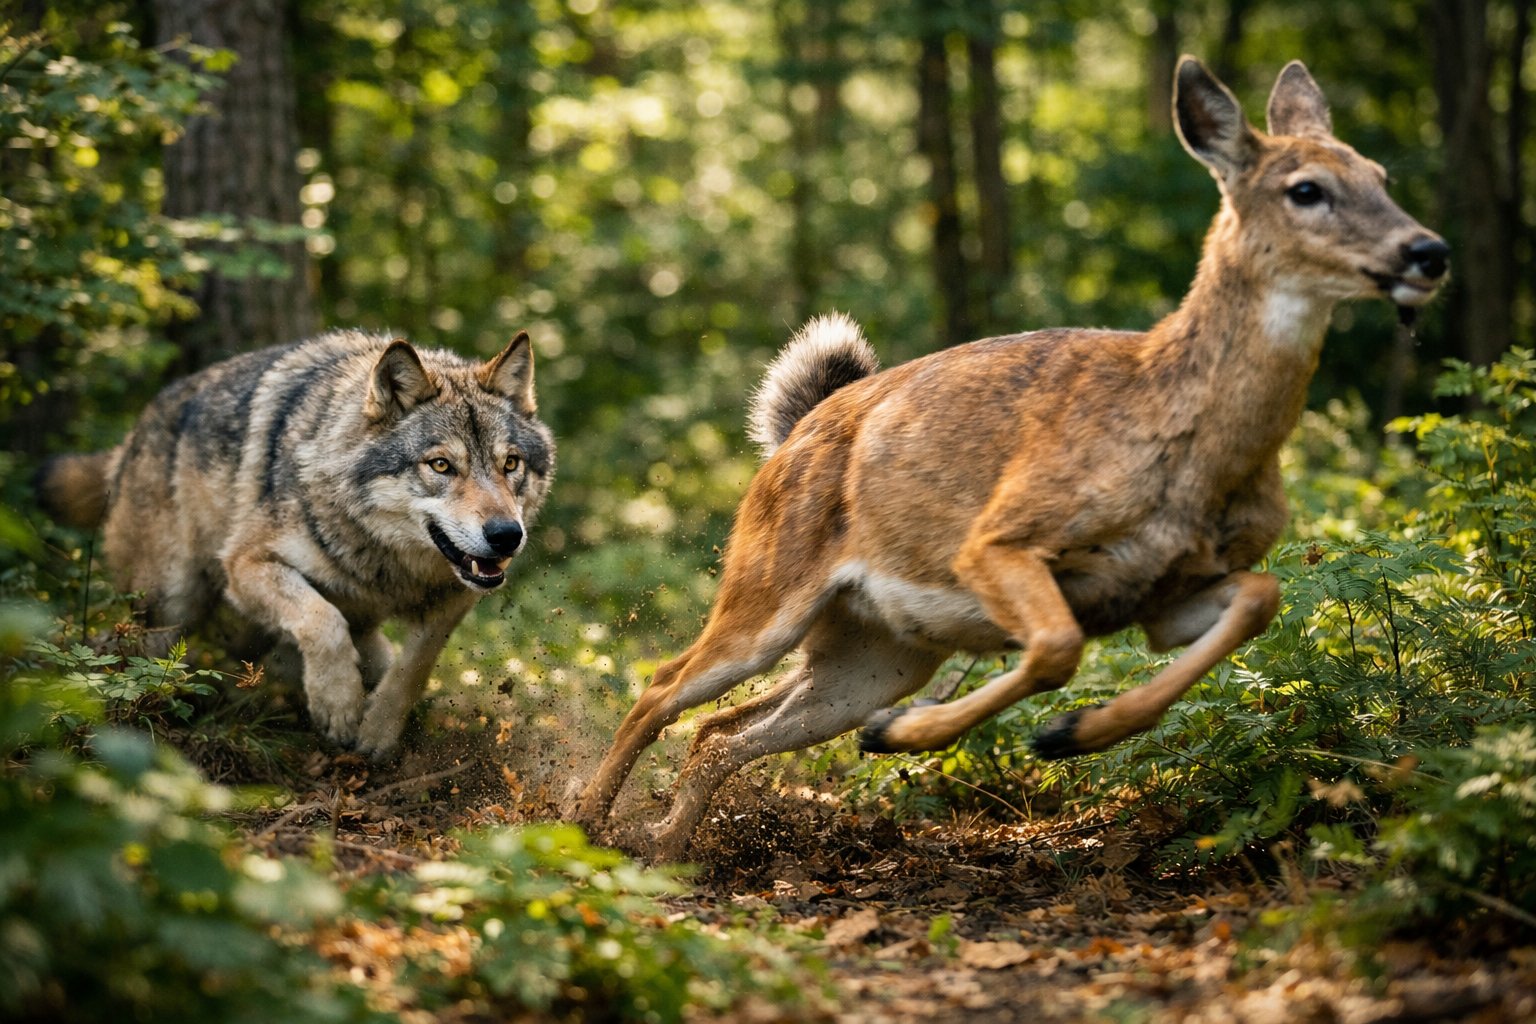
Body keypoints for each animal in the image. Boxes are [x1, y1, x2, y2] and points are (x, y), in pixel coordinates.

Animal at [37, 328, 555, 757]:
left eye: (510, 464)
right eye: (442, 465)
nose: (506, 536)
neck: (386, 566)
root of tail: (132, 438)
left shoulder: (451, 600)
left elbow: (414, 666)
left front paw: (377, 732)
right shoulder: (244, 565)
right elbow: (320, 622)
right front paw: (339, 706)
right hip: (170, 601)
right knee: (135, 657)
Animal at [571, 56, 1451, 861]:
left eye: (1380, 175)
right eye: (1306, 189)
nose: (1429, 249)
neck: (1189, 451)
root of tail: (793, 433)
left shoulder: (1166, 590)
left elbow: (1261, 598)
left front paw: (1070, 732)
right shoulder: (1000, 538)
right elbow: (1055, 649)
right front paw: (925, 737)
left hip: (875, 650)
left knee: (723, 732)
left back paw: (667, 845)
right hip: (766, 587)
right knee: (662, 688)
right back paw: (583, 826)